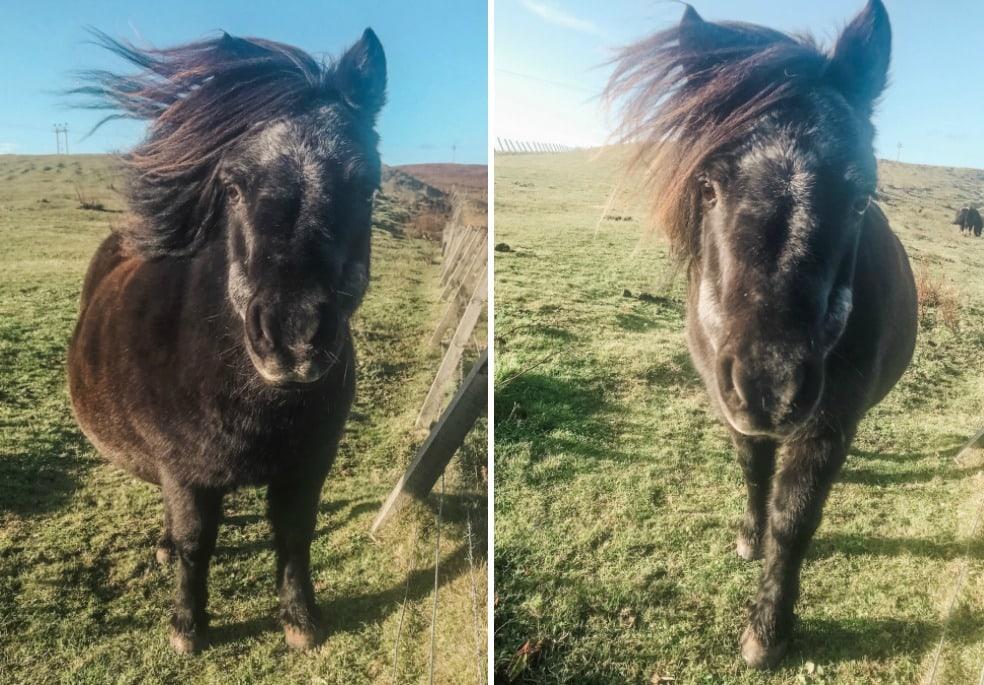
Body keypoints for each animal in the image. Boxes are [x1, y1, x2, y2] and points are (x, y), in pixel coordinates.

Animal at [66, 30, 384, 652]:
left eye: (366, 187)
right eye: (232, 187)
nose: (292, 335)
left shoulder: (309, 465)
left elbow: (294, 534)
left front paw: (300, 619)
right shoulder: (184, 472)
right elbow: (197, 544)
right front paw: (187, 625)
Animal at [604, 0, 920, 664]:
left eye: (861, 198)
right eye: (707, 186)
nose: (771, 387)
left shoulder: (827, 425)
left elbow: (793, 520)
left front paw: (767, 632)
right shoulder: (728, 400)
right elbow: (754, 471)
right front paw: (749, 538)